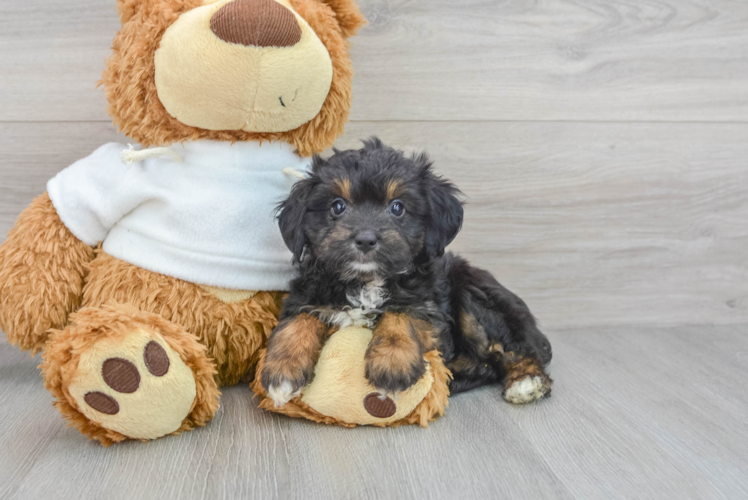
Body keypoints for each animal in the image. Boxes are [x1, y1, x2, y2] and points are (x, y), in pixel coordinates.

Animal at [260, 139, 552, 408]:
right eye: (337, 206)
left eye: (397, 207)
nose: (365, 239)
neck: (366, 281)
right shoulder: (306, 294)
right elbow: (297, 321)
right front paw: (282, 370)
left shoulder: (428, 305)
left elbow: (402, 313)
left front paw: (392, 363)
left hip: (474, 296)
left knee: (512, 350)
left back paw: (526, 382)